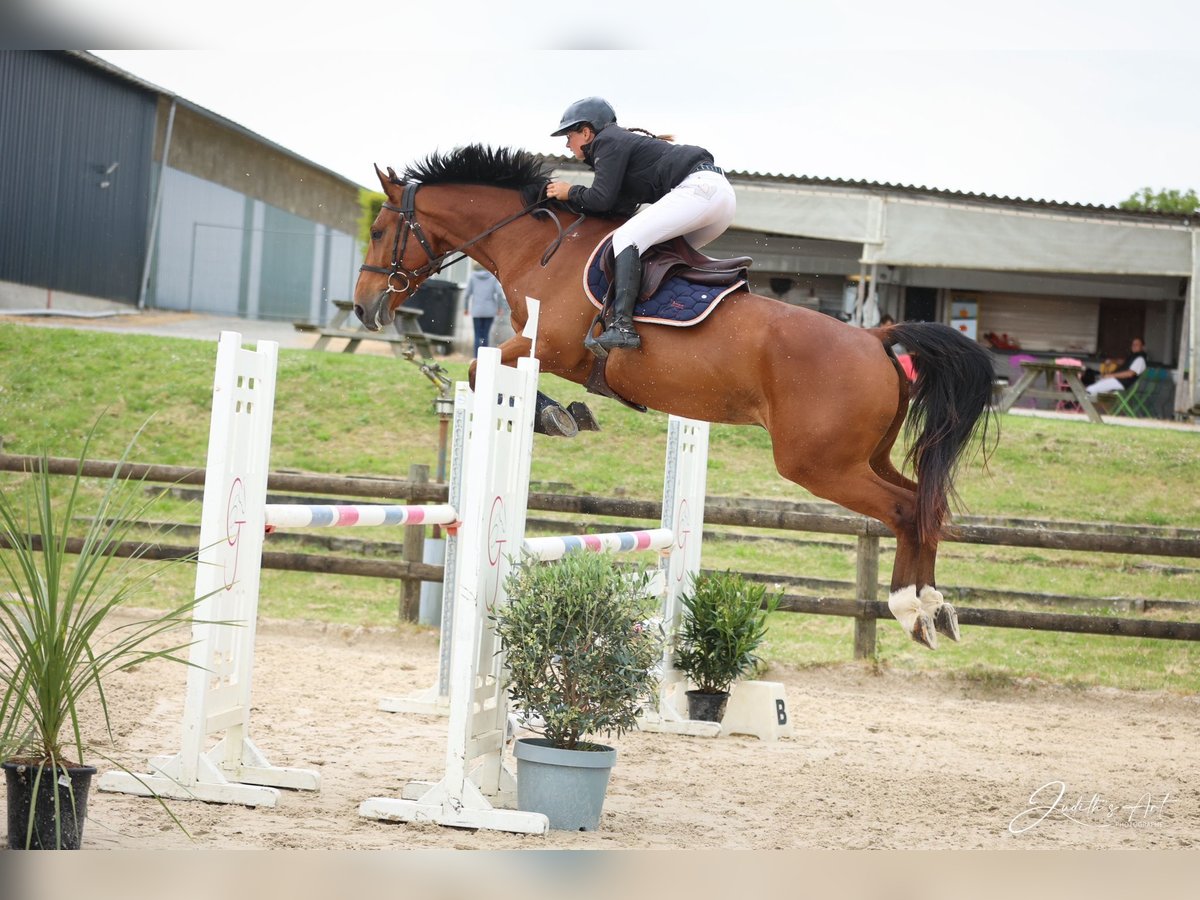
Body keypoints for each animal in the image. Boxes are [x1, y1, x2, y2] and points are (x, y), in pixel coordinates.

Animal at [353, 145, 995, 649]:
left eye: (379, 231)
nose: (362, 307)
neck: (539, 246)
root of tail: (877, 338)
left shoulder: (545, 347)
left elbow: (480, 367)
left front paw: (556, 415)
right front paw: (569, 413)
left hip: (818, 464)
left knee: (905, 510)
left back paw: (911, 607)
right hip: (864, 456)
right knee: (926, 503)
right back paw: (934, 609)